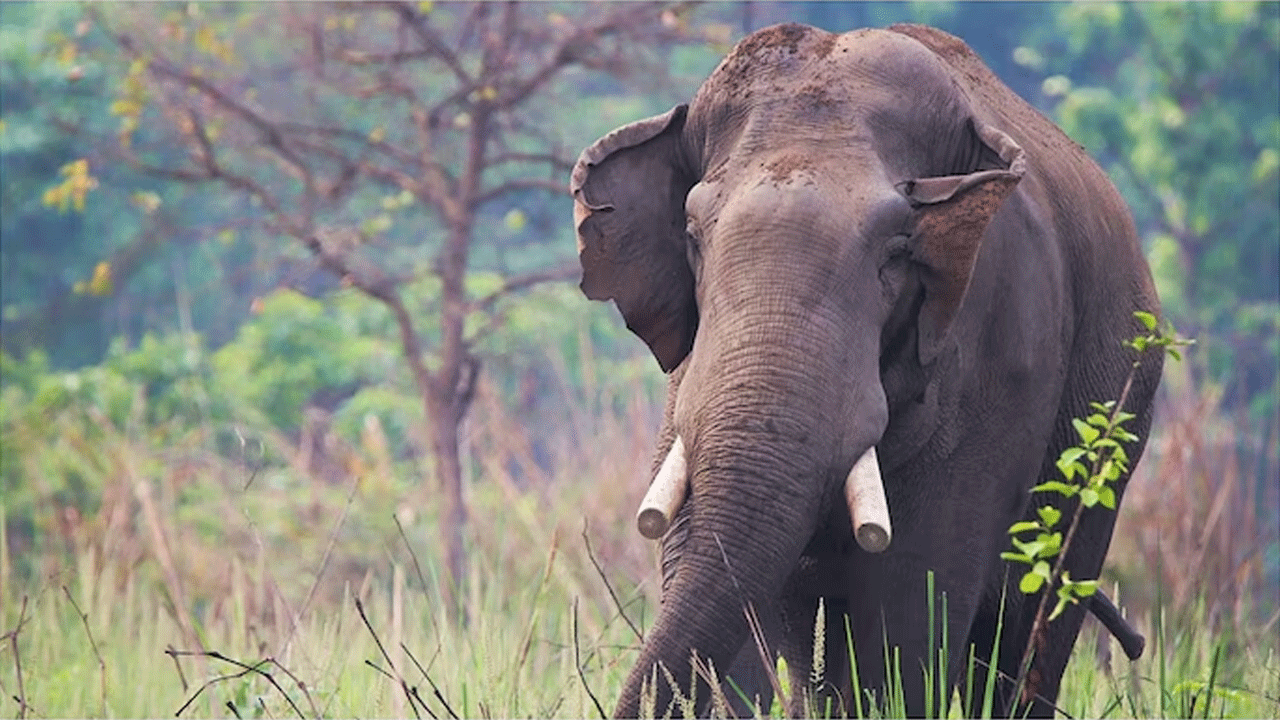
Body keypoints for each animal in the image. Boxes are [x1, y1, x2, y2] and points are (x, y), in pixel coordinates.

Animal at [571, 23, 1162, 718]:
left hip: (1111, 437)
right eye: (692, 235)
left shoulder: (1003, 345)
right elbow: (708, 562)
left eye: (896, 251)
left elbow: (911, 601)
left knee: (1027, 635)